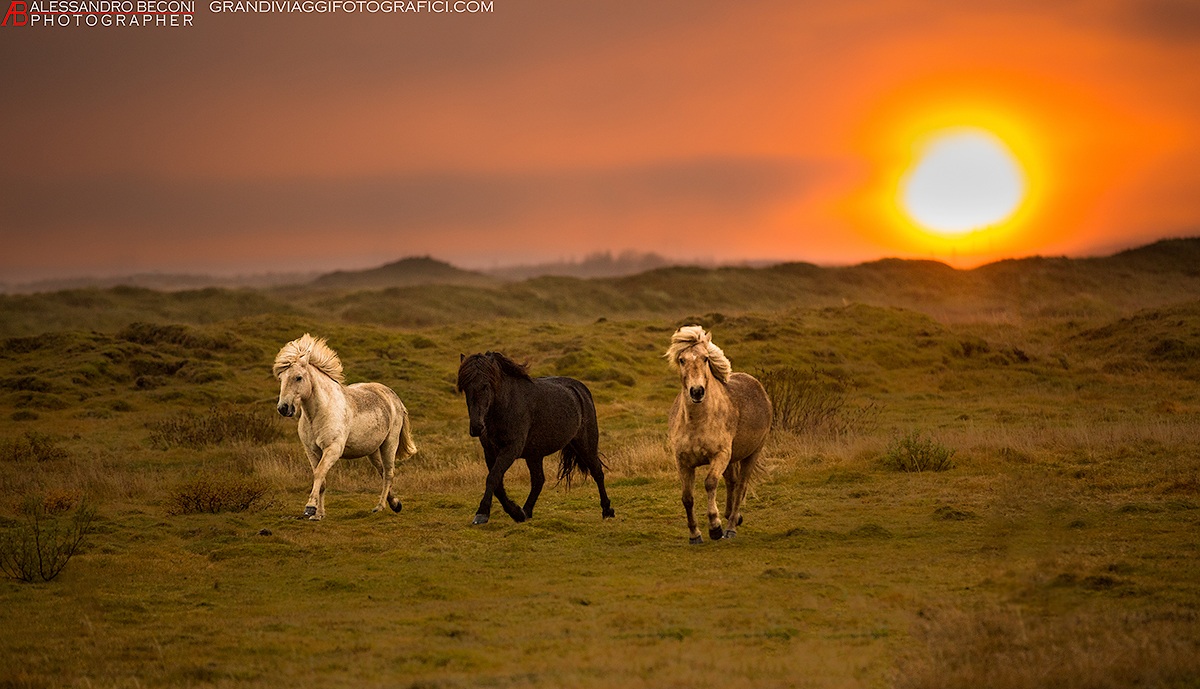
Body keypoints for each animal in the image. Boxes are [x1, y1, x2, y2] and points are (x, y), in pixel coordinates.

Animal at [273, 334, 417, 521]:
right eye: (281, 378)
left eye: (298, 377)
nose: (283, 408)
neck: (318, 414)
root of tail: (393, 397)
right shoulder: (311, 451)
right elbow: (321, 480)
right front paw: (318, 514)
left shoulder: (332, 449)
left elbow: (319, 473)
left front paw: (310, 508)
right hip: (372, 450)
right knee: (381, 471)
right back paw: (395, 504)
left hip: (389, 444)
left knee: (388, 473)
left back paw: (380, 507)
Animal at [456, 351, 615, 525]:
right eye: (464, 387)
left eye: (485, 385)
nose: (477, 427)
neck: (507, 404)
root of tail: (581, 390)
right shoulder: (490, 452)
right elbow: (497, 483)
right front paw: (516, 513)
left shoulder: (511, 448)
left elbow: (492, 478)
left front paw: (482, 513)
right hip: (535, 454)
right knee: (539, 480)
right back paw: (526, 511)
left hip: (585, 445)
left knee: (597, 472)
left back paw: (607, 510)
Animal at [666, 325, 772, 544]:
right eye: (682, 360)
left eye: (705, 358)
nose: (697, 391)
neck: (697, 422)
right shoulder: (682, 461)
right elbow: (687, 497)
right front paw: (695, 534)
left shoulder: (719, 455)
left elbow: (710, 483)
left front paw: (715, 527)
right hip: (732, 459)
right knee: (732, 482)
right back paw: (733, 516)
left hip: (752, 454)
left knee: (740, 486)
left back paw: (730, 527)